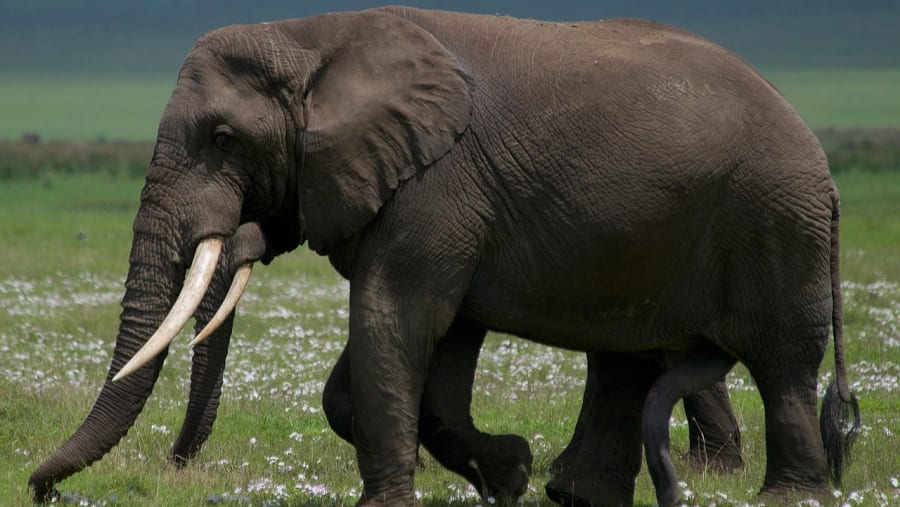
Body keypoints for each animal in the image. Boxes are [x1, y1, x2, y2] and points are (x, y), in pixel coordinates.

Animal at [29, 6, 860, 507]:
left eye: (224, 139)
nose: (40, 488)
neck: (314, 35)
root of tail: (819, 154)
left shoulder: (439, 183)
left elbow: (395, 316)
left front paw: (423, 493)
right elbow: (422, 347)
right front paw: (508, 472)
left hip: (773, 221)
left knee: (782, 361)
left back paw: (785, 495)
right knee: (627, 358)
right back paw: (576, 493)